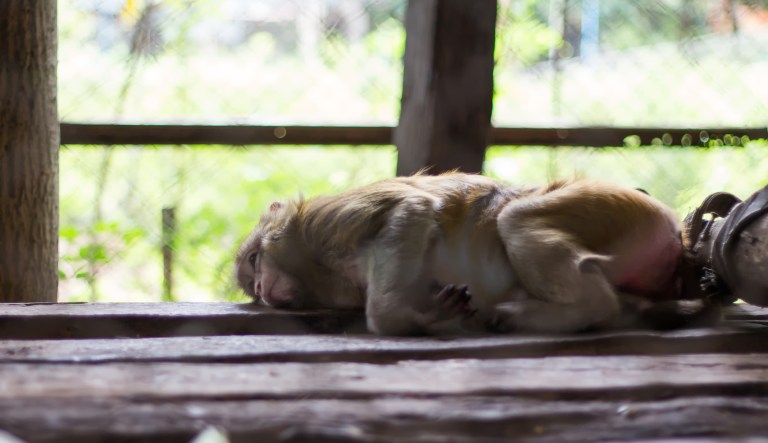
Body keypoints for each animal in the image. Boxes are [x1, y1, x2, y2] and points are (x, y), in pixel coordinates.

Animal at [235, 173, 712, 336]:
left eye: (255, 260)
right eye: (253, 292)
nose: (261, 286)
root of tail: (676, 230)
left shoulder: (328, 221)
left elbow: (410, 210)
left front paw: (406, 319)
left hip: (613, 208)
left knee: (517, 218)